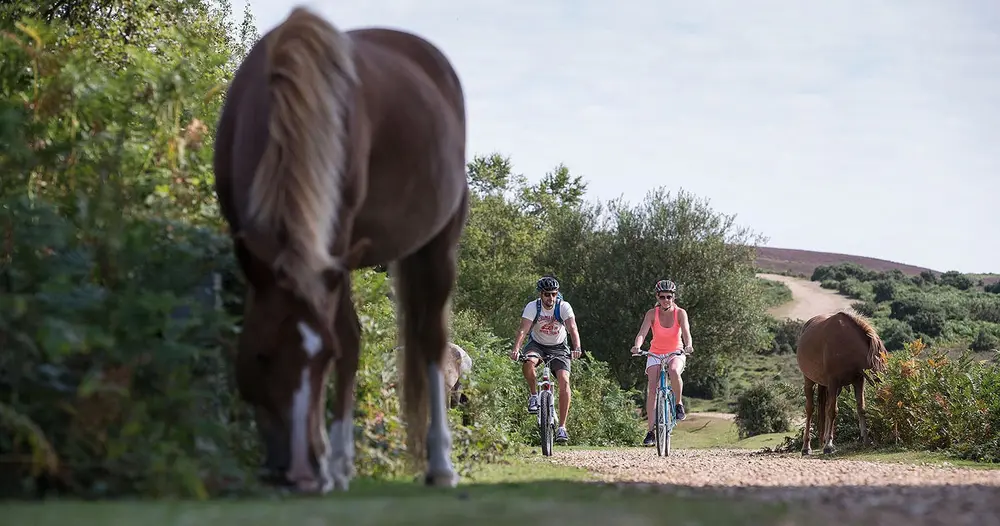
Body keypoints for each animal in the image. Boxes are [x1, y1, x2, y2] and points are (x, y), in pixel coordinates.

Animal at [212, 6, 469, 493]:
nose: (300, 474)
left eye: (322, 361)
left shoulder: (333, 243)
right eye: (261, 355)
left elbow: (345, 342)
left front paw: (325, 461)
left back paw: (439, 465)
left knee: (429, 340)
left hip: (436, 246)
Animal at [795, 310, 888, 455]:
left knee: (826, 406)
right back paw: (806, 447)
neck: (847, 345)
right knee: (810, 409)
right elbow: (832, 411)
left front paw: (866, 440)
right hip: (810, 381)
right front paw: (828, 445)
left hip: (832, 388)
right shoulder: (833, 381)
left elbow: (861, 409)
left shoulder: (858, 381)